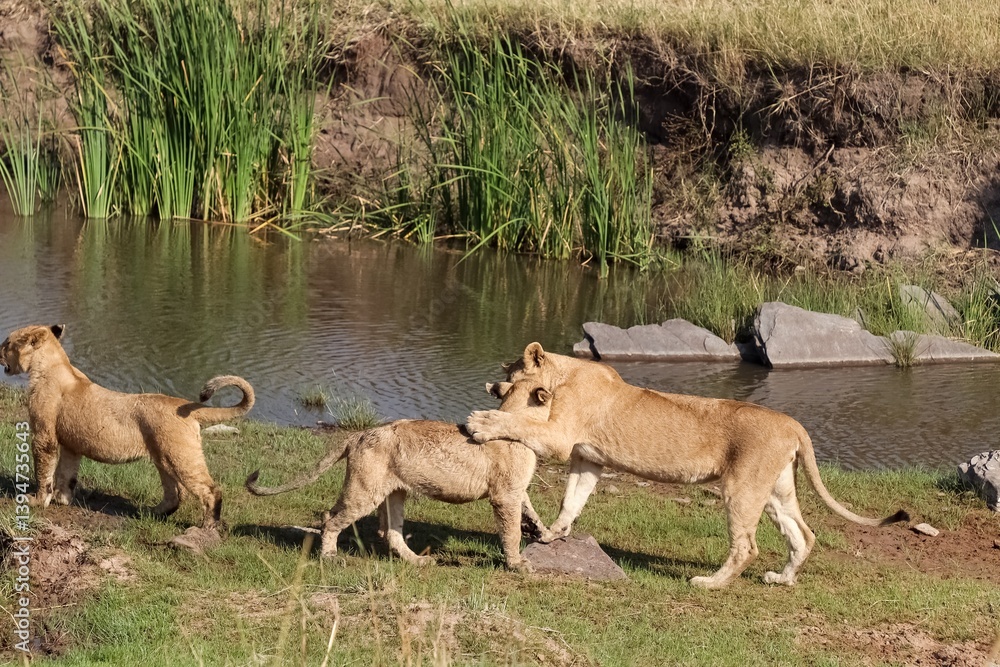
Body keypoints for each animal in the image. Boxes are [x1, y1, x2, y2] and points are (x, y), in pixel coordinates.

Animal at [1, 324, 254, 530]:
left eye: (7, 343)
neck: (52, 364)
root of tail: (183, 405)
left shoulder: (45, 436)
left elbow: (44, 472)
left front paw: (36, 500)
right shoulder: (71, 445)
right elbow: (66, 474)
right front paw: (62, 500)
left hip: (182, 457)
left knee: (210, 491)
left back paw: (207, 526)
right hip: (164, 458)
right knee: (175, 494)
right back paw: (151, 513)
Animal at [245, 381, 552, 572]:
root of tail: (358, 435)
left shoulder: (515, 490)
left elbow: (529, 510)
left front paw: (546, 534)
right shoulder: (505, 495)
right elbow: (511, 531)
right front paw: (517, 564)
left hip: (392, 493)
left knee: (390, 532)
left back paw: (417, 561)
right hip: (365, 490)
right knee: (330, 519)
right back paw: (329, 556)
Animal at [465, 342, 909, 589]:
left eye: (512, 372)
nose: (492, 385)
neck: (564, 375)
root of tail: (793, 424)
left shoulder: (560, 437)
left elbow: (519, 424)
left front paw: (482, 422)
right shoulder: (587, 458)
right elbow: (572, 500)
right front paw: (553, 534)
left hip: (742, 488)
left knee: (746, 547)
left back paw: (709, 584)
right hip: (774, 489)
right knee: (804, 534)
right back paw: (781, 579)